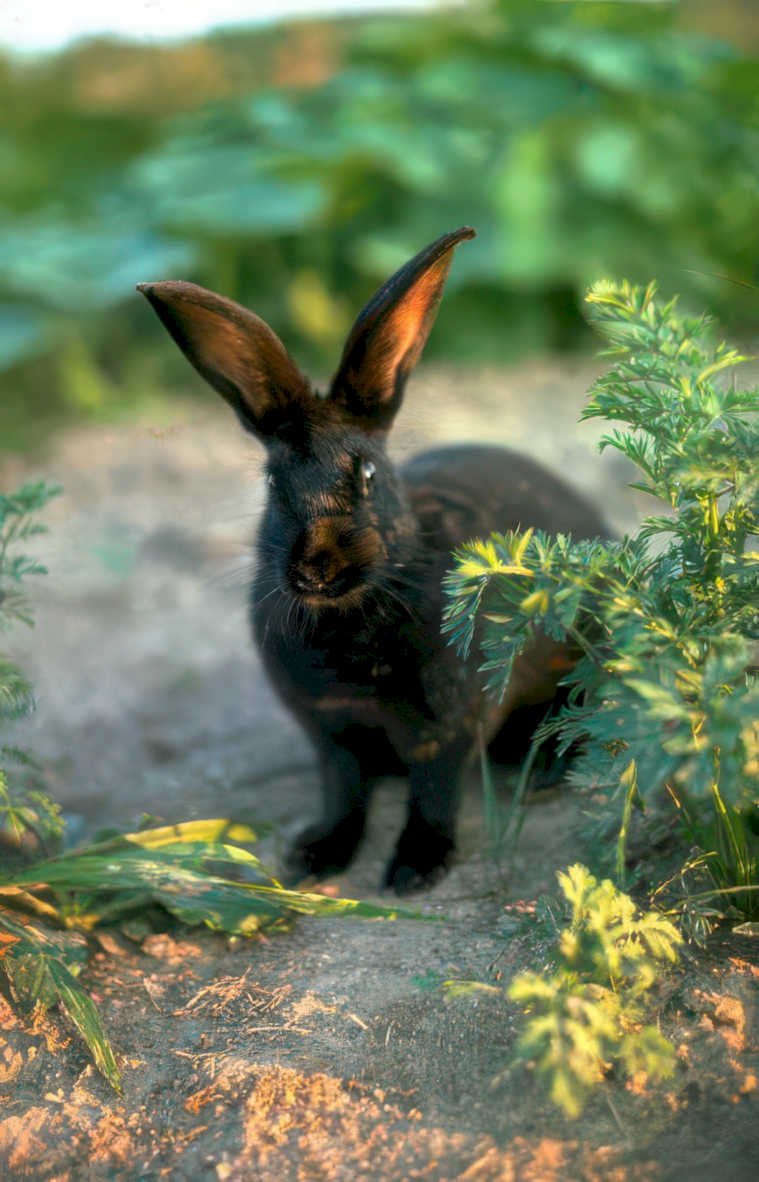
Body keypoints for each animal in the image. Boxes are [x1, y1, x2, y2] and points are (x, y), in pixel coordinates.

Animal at [138, 226, 608, 893]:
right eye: (273, 483)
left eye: (366, 475)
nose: (317, 569)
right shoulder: (332, 734)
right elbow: (345, 794)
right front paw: (315, 858)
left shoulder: (443, 733)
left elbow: (432, 797)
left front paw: (413, 871)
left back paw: (540, 774)